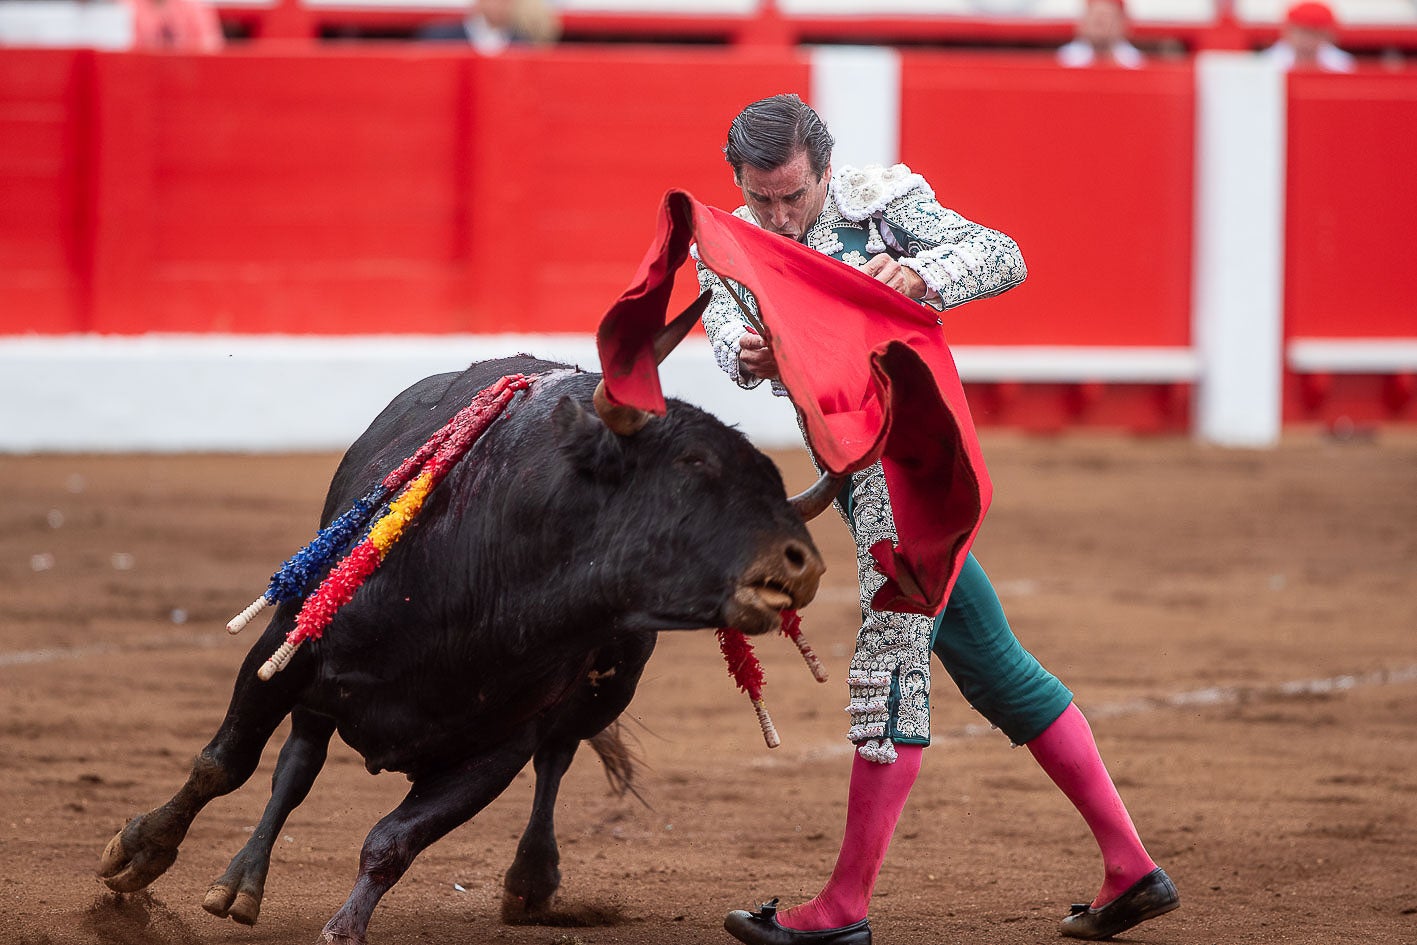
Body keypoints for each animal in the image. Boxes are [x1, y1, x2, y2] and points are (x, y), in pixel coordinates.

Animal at [97, 327, 838, 945]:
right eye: (692, 463)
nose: (803, 561)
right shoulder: (288, 648)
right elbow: (224, 762)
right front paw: (136, 854)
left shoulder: (500, 746)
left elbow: (394, 840)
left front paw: (345, 929)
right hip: (312, 682)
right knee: (296, 763)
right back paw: (239, 882)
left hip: (605, 692)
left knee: (557, 757)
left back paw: (531, 882)